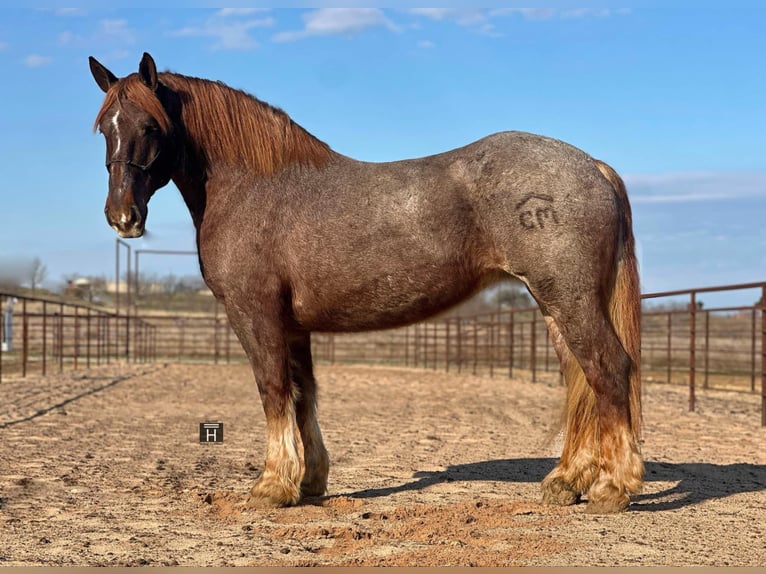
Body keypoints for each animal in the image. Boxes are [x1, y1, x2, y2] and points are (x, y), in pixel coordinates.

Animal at [89, 52, 643, 514]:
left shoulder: (255, 313)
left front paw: (271, 486)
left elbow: (273, 389)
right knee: (580, 380)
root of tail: (592, 166)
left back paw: (612, 488)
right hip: (555, 304)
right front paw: (308, 481)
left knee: (609, 369)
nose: (122, 217)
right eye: (103, 129)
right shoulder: (294, 325)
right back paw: (565, 482)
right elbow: (303, 393)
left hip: (568, 299)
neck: (253, 187)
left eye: (150, 125)